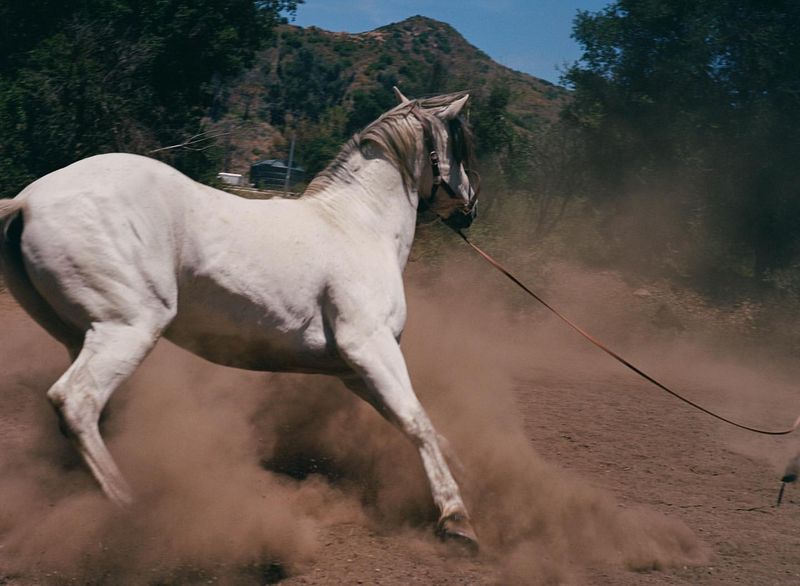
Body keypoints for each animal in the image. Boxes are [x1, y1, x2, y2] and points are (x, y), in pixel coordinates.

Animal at [0, 89, 482, 544]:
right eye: (461, 144)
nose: (471, 206)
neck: (357, 226)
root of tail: (27, 200)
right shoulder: (370, 347)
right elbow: (416, 421)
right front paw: (457, 520)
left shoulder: (351, 371)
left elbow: (417, 422)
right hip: (128, 329)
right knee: (75, 401)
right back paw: (131, 510)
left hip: (79, 335)